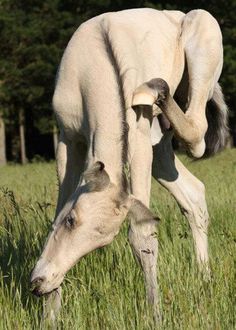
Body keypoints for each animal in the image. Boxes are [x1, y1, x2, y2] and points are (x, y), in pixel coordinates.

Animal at [30, 8, 228, 322]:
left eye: (101, 241)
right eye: (71, 221)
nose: (38, 283)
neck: (97, 71)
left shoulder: (138, 141)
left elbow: (142, 235)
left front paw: (156, 314)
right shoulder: (67, 139)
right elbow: (57, 210)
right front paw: (50, 315)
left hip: (203, 39)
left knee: (198, 136)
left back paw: (156, 90)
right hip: (160, 146)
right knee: (193, 192)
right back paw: (204, 277)